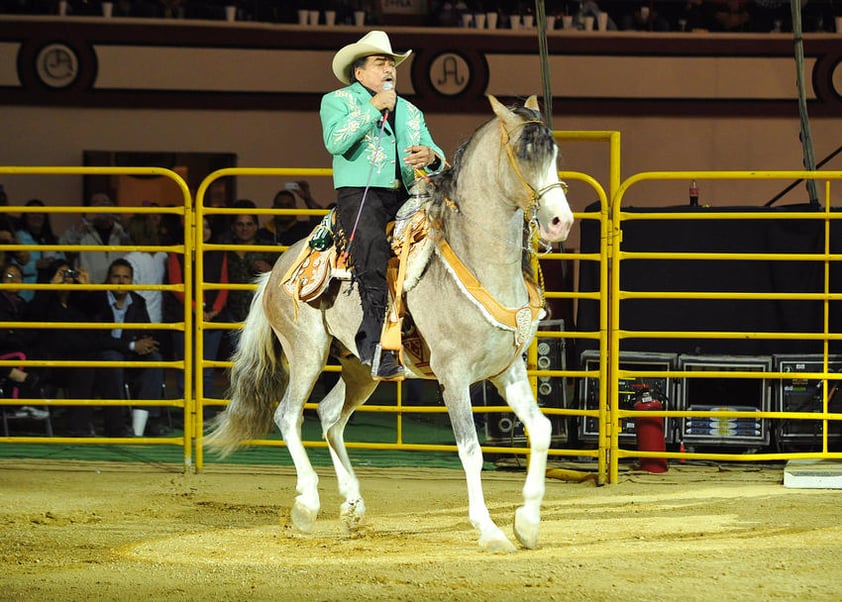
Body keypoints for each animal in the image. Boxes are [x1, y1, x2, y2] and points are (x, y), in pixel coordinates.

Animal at [207, 92, 576, 548]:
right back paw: (307, 504)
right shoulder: (453, 376)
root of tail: (276, 270)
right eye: (525, 153)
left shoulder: (506, 371)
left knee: (329, 415)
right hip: (307, 354)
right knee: (289, 416)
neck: (477, 257)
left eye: (554, 153)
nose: (560, 222)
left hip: (361, 368)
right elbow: (471, 451)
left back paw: (352, 507)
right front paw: (489, 530)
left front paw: (526, 523)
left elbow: (541, 431)